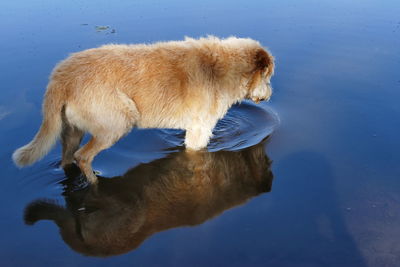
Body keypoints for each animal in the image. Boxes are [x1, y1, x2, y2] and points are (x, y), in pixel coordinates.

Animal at [12, 36, 276, 184]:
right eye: (268, 76)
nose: (270, 94)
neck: (222, 68)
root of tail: (61, 77)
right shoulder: (199, 132)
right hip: (117, 123)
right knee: (83, 157)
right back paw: (95, 184)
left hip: (71, 131)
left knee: (68, 159)